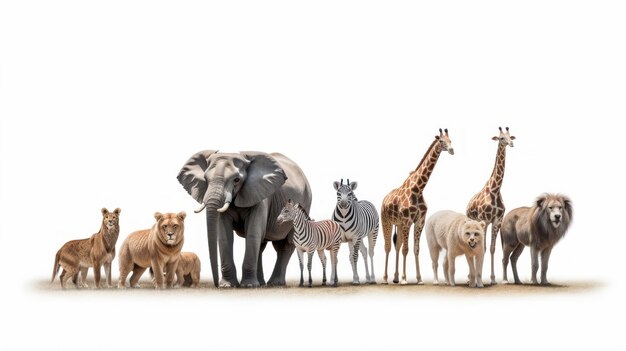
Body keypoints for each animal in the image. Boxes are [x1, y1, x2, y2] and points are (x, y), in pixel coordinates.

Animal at [176, 151, 312, 288]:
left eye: (236, 180)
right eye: (206, 179)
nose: (216, 285)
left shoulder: (259, 194)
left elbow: (253, 233)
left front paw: (248, 286)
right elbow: (225, 235)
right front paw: (227, 286)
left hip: (303, 204)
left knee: (285, 245)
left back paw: (274, 284)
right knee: (261, 245)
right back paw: (261, 283)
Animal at [380, 129, 454, 286]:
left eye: (450, 140)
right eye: (441, 141)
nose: (452, 150)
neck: (418, 189)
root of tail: (384, 199)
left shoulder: (419, 221)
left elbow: (415, 249)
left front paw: (419, 279)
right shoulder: (407, 221)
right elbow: (406, 249)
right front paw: (404, 279)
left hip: (399, 224)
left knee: (397, 245)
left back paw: (395, 277)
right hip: (386, 221)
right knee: (387, 247)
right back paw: (385, 278)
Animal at [466, 126, 516, 286]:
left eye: (510, 136)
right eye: (501, 138)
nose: (511, 143)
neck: (495, 190)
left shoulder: (496, 221)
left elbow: (492, 248)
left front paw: (493, 279)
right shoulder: (484, 220)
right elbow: (483, 247)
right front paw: (478, 279)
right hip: (474, 221)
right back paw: (470, 277)